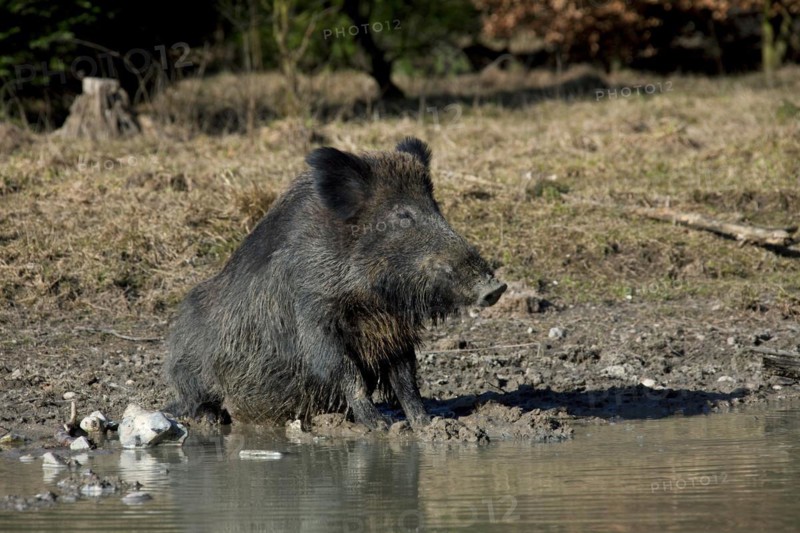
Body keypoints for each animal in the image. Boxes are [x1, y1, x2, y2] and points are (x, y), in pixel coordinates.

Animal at [164, 138, 506, 429]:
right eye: (403, 215)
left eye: (436, 207)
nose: (496, 288)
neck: (371, 299)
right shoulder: (315, 315)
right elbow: (345, 372)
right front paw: (380, 426)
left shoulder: (394, 332)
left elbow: (406, 379)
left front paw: (426, 424)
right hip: (188, 373)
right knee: (198, 402)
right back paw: (211, 421)